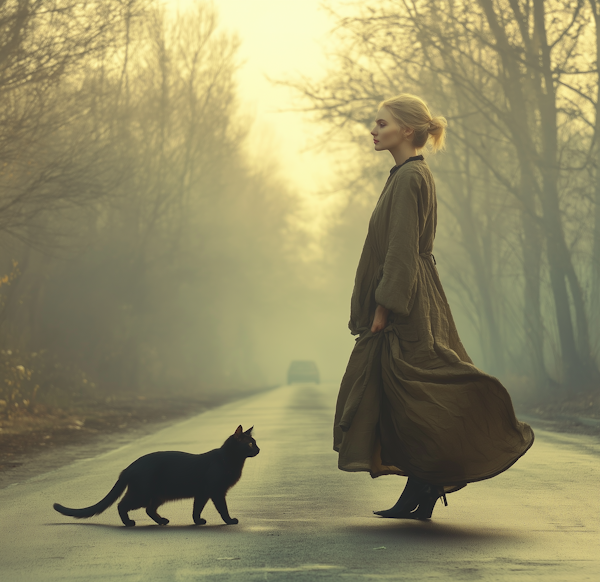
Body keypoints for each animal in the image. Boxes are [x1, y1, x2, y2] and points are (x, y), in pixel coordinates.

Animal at [52, 424, 256, 528]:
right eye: (250, 444)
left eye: (255, 443)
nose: (259, 449)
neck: (229, 460)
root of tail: (129, 466)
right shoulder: (216, 491)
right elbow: (223, 509)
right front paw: (230, 521)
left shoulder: (202, 493)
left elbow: (196, 509)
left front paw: (198, 521)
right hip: (142, 494)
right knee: (122, 504)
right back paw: (129, 523)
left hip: (158, 495)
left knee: (149, 509)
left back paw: (162, 521)